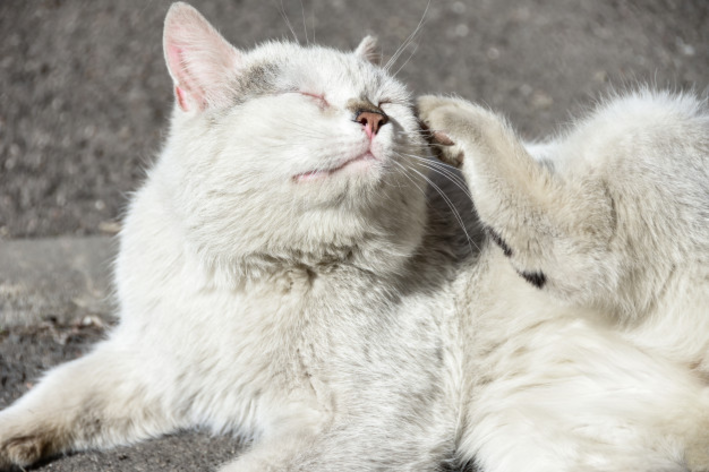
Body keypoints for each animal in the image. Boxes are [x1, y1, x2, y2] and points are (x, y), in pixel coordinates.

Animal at [1, 3, 476, 472]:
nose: (374, 117)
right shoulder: (150, 361)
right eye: (308, 96)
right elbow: (61, 389)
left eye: (387, 103)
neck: (255, 271)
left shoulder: (376, 422)